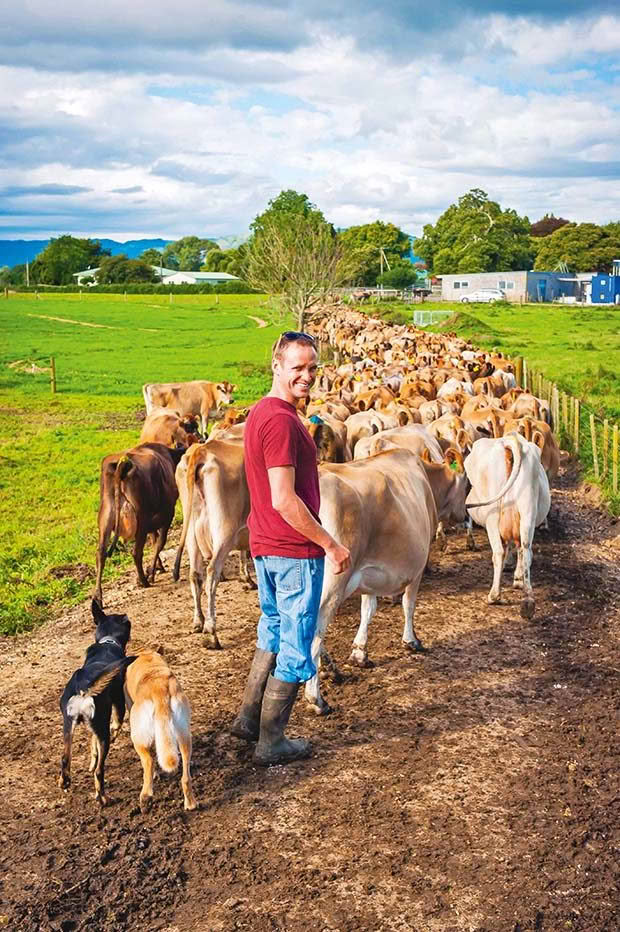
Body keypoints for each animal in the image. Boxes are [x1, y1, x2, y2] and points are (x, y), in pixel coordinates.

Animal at [58, 600, 136, 804]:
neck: (107, 642)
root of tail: (83, 688)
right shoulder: (118, 708)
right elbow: (116, 727)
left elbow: (92, 746)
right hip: (102, 730)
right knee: (100, 771)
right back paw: (102, 797)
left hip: (68, 726)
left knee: (65, 758)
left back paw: (64, 781)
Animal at [92, 442, 184, 604]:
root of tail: (123, 462)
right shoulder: (167, 515)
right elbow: (159, 543)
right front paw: (151, 573)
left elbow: (154, 542)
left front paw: (157, 568)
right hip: (142, 519)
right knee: (136, 552)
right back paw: (143, 581)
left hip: (106, 517)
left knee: (101, 554)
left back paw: (98, 597)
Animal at [124, 652, 196, 812]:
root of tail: (159, 688)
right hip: (184, 736)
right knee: (186, 776)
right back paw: (191, 804)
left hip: (137, 739)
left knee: (149, 761)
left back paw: (145, 798)